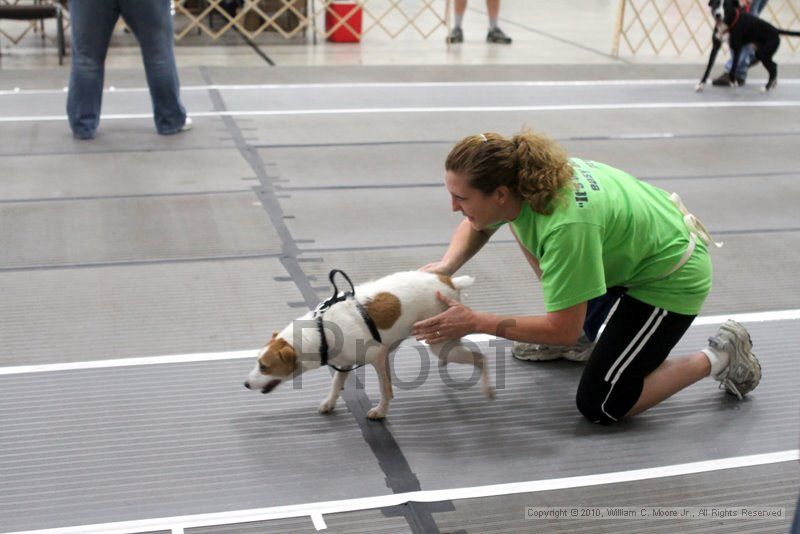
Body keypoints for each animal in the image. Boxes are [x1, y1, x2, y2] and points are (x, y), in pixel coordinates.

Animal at [244, 272, 494, 418]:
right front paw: (329, 402)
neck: (320, 331)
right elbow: (336, 384)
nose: (245, 384)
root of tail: (450, 281)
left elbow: (386, 389)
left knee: (481, 358)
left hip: (440, 343)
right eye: (258, 362)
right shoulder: (344, 363)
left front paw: (381, 411)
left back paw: (488, 389)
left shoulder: (378, 358)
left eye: (264, 366)